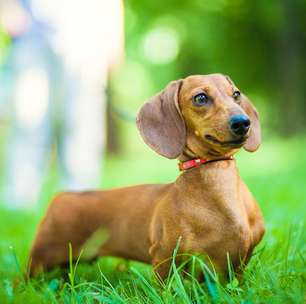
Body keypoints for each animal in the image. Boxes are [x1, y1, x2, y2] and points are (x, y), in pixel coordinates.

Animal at [29, 74, 266, 280]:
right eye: (200, 97)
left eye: (236, 94)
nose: (243, 122)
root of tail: (63, 196)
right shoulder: (164, 256)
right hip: (41, 259)